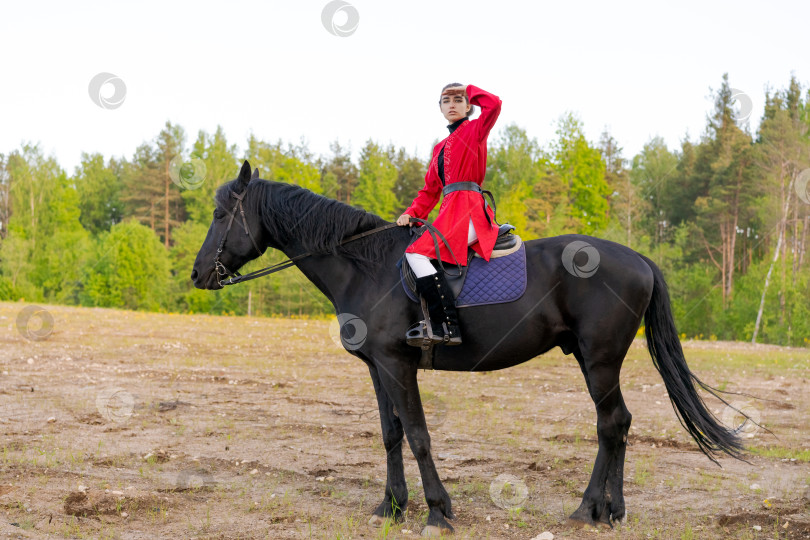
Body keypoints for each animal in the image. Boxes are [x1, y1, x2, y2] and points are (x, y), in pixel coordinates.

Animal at [191, 161, 744, 536]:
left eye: (220, 214)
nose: (198, 275)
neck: (366, 266)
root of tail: (640, 259)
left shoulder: (398, 365)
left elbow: (418, 436)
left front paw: (437, 511)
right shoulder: (377, 368)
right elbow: (390, 434)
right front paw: (390, 507)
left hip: (601, 360)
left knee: (611, 425)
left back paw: (590, 510)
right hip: (594, 361)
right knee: (621, 423)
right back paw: (611, 510)